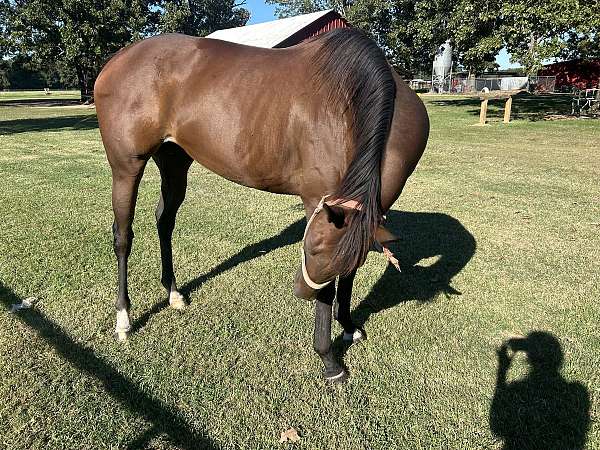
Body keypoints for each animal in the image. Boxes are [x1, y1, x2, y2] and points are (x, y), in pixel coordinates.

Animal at [96, 28, 428, 382]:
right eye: (310, 249)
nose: (302, 291)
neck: (351, 102)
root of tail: (119, 59)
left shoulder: (363, 220)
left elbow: (349, 271)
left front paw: (349, 326)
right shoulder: (318, 205)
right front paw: (329, 359)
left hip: (174, 161)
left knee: (164, 220)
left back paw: (173, 292)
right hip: (127, 167)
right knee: (123, 235)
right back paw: (123, 318)